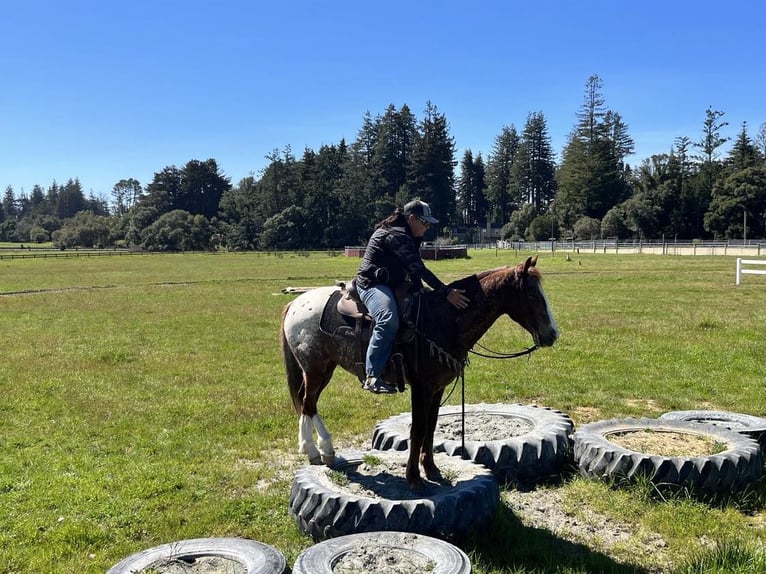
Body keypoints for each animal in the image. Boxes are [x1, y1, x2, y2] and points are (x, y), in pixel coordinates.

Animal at [280, 255, 560, 490]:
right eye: (532, 294)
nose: (553, 334)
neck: (442, 318)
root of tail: (295, 303)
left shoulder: (438, 387)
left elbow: (431, 427)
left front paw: (432, 469)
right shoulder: (421, 385)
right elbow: (417, 428)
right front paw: (414, 478)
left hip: (324, 368)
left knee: (307, 402)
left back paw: (319, 450)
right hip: (315, 369)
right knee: (308, 402)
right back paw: (318, 451)